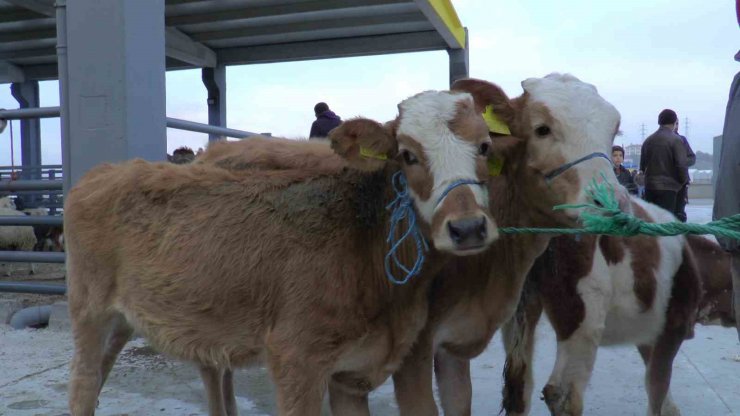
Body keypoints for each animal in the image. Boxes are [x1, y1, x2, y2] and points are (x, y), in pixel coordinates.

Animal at [65, 90, 498, 416]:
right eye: (408, 155)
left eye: (485, 147)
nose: (467, 228)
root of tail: (104, 171)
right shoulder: (296, 359)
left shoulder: (358, 369)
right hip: (89, 310)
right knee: (84, 387)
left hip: (128, 318)